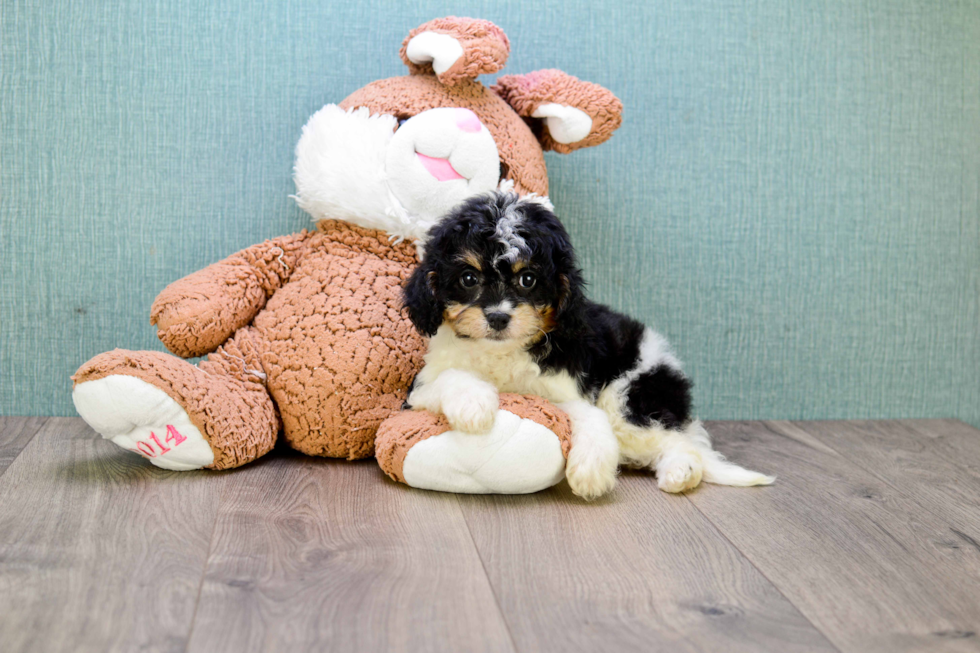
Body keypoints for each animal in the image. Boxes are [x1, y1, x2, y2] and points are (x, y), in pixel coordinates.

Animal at [402, 191, 768, 496]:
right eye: (468, 278)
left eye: (528, 279)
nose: (498, 317)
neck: (501, 353)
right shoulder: (416, 394)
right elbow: (452, 378)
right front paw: (474, 405)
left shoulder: (564, 390)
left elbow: (590, 417)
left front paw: (591, 471)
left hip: (631, 398)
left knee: (680, 443)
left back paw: (681, 472)